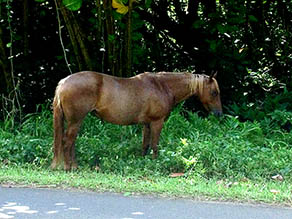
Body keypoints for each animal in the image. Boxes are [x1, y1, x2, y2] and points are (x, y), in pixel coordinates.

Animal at [51, 71, 222, 170]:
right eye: (214, 92)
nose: (219, 114)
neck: (162, 86)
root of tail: (63, 82)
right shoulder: (157, 122)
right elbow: (155, 145)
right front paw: (155, 164)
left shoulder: (147, 124)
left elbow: (145, 145)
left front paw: (143, 162)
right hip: (75, 120)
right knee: (67, 141)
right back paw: (68, 167)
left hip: (75, 121)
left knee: (71, 142)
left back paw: (74, 166)